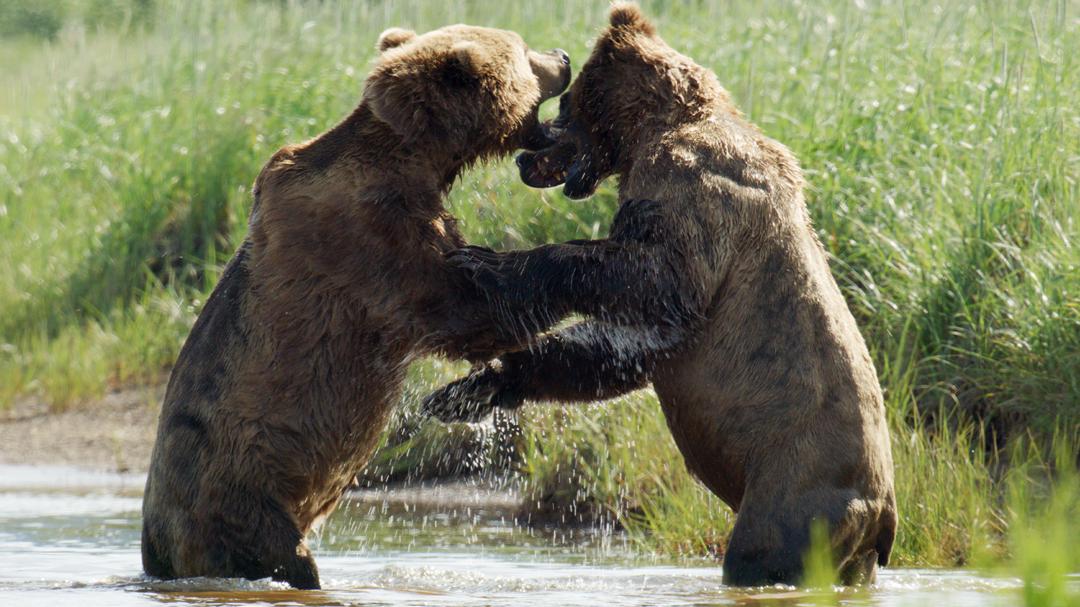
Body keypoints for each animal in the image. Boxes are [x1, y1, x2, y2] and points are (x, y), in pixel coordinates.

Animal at [140, 24, 570, 589]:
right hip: (232, 493)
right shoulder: (365, 237)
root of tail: (157, 551)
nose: (564, 56)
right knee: (279, 553)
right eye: (523, 50)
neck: (413, 161)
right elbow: (467, 309)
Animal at [421, 4, 897, 587]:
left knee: (759, 550)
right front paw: (470, 388)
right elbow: (624, 346)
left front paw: (486, 263)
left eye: (564, 104)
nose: (523, 160)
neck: (653, 133)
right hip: (850, 547)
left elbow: (656, 283)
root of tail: (884, 517)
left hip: (796, 487)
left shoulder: (694, 192)